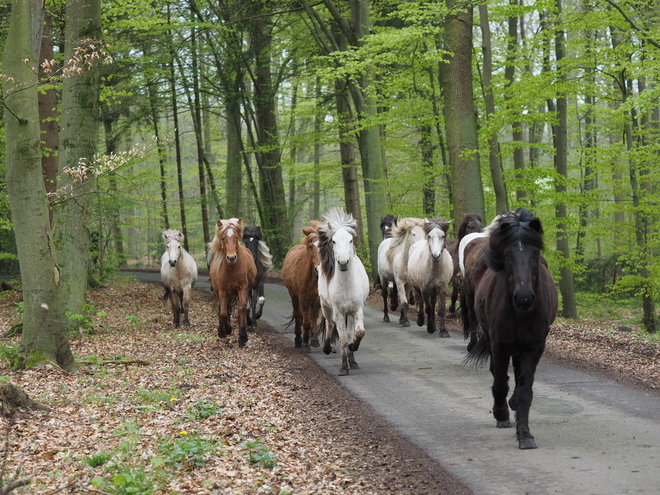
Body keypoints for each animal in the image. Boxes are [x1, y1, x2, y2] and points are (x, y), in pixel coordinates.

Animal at [209, 217, 258, 348]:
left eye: (236, 237)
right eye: (223, 238)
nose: (231, 258)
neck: (231, 269)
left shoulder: (243, 288)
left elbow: (242, 308)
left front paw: (243, 337)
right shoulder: (222, 290)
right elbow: (223, 313)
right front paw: (227, 329)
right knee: (222, 309)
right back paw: (221, 331)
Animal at [318, 208, 372, 376]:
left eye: (351, 240)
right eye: (334, 241)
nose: (343, 263)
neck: (347, 286)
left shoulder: (357, 309)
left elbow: (358, 333)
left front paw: (353, 348)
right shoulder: (339, 312)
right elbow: (342, 338)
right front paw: (343, 368)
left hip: (350, 314)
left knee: (349, 332)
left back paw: (352, 361)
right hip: (326, 307)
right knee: (329, 324)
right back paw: (327, 348)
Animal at [464, 207, 556, 452]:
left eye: (535, 254)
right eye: (507, 255)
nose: (524, 298)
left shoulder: (534, 347)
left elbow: (525, 391)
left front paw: (525, 435)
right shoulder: (500, 345)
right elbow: (499, 383)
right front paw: (501, 414)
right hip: (493, 339)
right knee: (498, 374)